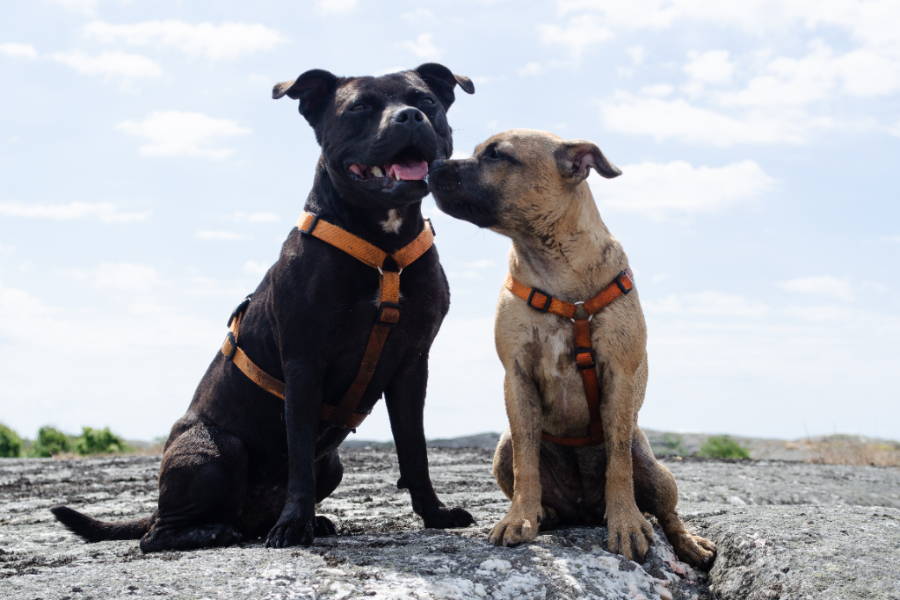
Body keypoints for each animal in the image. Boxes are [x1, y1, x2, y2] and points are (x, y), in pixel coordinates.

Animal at [53, 63, 478, 552]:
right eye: (360, 108)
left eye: (425, 100)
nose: (409, 117)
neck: (383, 244)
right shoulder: (303, 363)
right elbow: (299, 455)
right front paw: (294, 525)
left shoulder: (411, 365)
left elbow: (415, 450)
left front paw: (435, 514)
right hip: (216, 449)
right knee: (157, 535)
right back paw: (219, 529)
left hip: (332, 464)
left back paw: (304, 521)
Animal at [428, 127, 716, 568]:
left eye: (496, 155)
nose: (432, 163)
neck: (554, 262)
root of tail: (583, 508)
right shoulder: (517, 377)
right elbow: (527, 462)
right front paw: (520, 518)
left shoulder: (618, 374)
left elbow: (618, 463)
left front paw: (626, 524)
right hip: (501, 449)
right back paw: (544, 512)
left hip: (656, 470)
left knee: (666, 511)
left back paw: (687, 543)